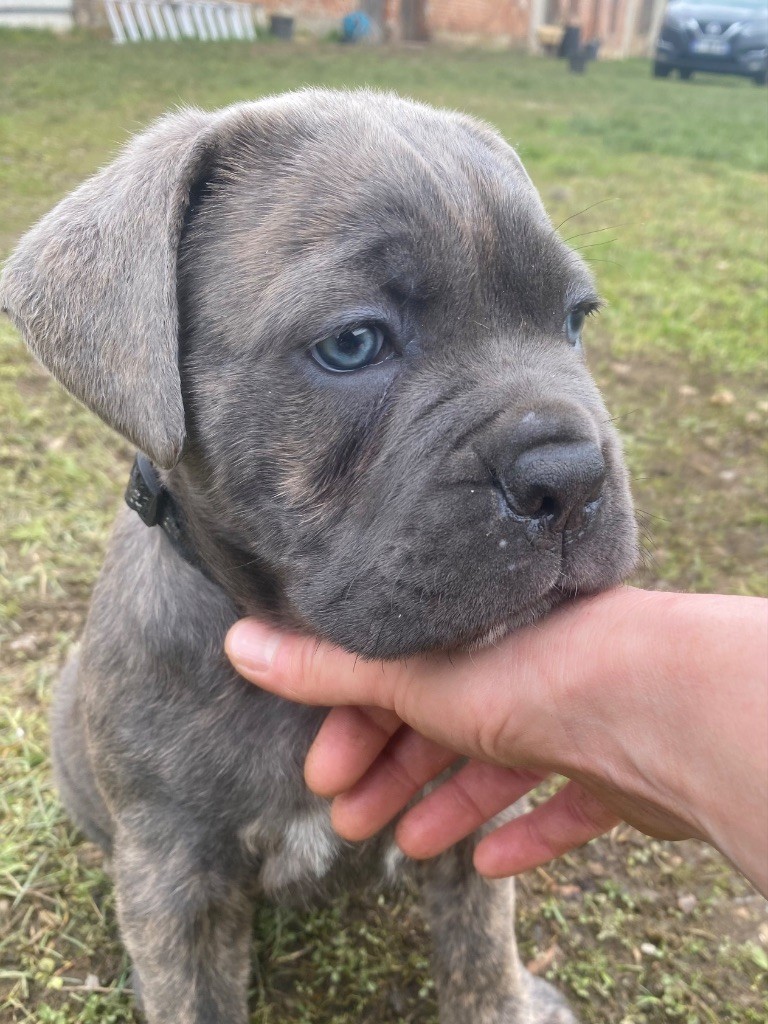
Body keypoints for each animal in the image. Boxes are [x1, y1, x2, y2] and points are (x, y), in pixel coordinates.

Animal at [0, 90, 638, 1024]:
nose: (570, 473)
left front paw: (508, 994)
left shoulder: (468, 835)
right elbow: (190, 993)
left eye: (574, 320)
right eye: (353, 343)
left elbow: (483, 961)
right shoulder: (175, 879)